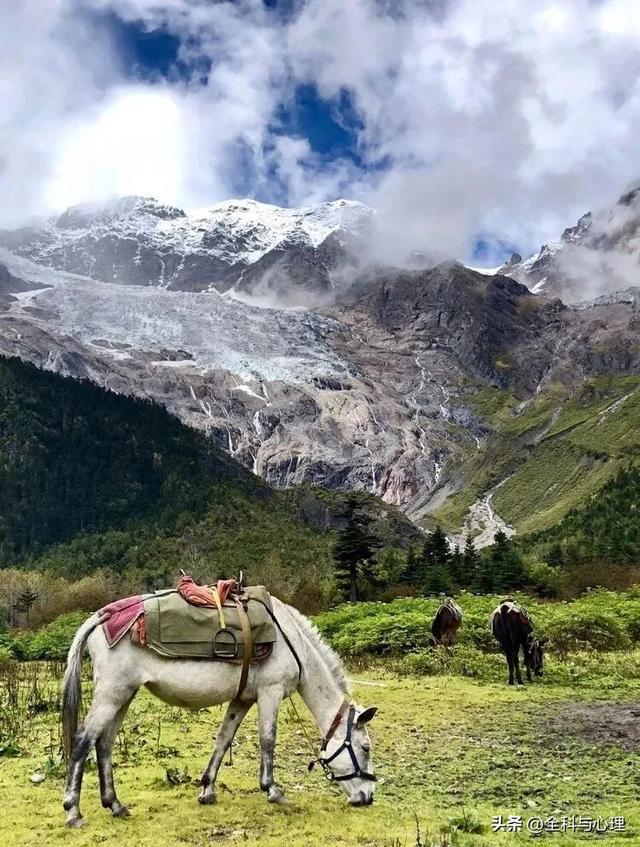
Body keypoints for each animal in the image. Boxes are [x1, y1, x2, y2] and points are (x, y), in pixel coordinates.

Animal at [61, 596, 376, 828]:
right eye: (365, 747)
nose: (368, 797)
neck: (291, 640)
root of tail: (100, 618)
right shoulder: (270, 693)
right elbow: (268, 740)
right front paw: (273, 790)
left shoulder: (242, 699)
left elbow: (224, 739)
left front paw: (207, 790)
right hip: (112, 693)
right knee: (83, 740)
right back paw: (73, 812)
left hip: (124, 695)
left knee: (104, 743)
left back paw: (115, 805)